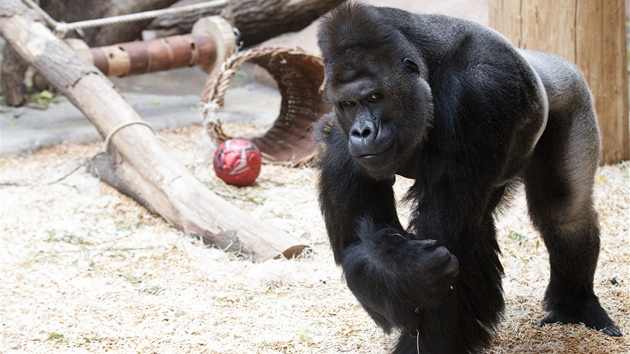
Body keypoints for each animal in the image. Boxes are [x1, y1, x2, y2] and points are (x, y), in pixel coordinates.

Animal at [316, 1, 624, 352]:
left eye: (375, 98)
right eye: (348, 103)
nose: (362, 132)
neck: (428, 64)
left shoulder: (479, 91)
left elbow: (451, 243)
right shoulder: (339, 136)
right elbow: (361, 242)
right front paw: (402, 268)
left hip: (573, 91)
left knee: (564, 211)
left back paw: (575, 304)